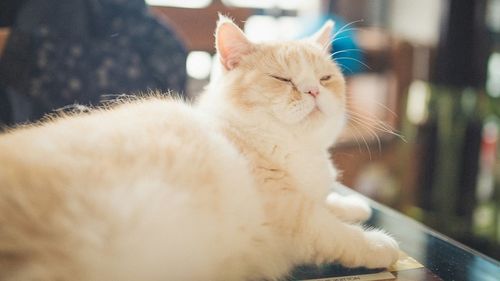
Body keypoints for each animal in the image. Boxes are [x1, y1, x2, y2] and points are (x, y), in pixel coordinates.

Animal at [0, 15, 398, 280]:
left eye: (325, 78)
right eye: (282, 79)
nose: (313, 90)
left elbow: (328, 202)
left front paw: (354, 205)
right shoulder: (296, 219)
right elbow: (336, 232)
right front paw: (380, 244)